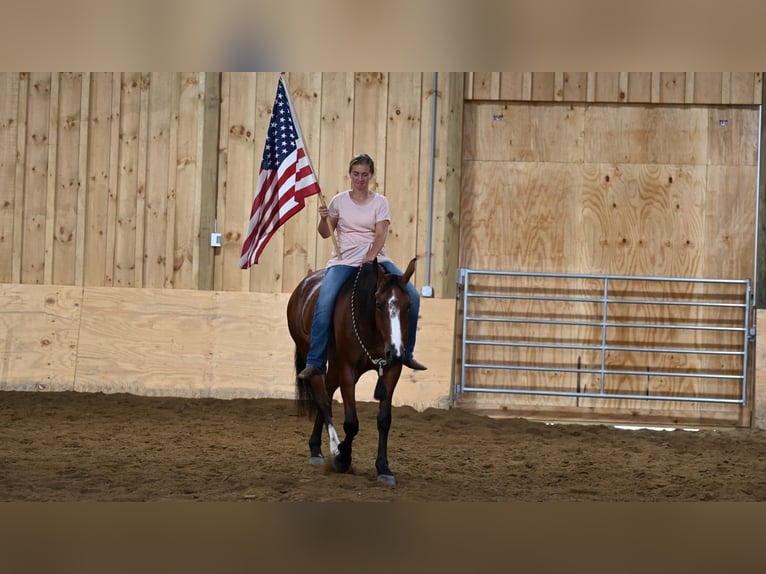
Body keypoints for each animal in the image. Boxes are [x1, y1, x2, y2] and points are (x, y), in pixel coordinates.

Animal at [288, 258, 420, 488]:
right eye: (379, 304)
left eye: (409, 305)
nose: (395, 351)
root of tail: (303, 286)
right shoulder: (347, 370)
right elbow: (351, 423)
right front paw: (342, 457)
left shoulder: (392, 369)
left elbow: (384, 420)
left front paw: (383, 468)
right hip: (313, 355)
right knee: (322, 399)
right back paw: (331, 448)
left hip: (334, 365)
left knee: (327, 394)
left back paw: (316, 447)